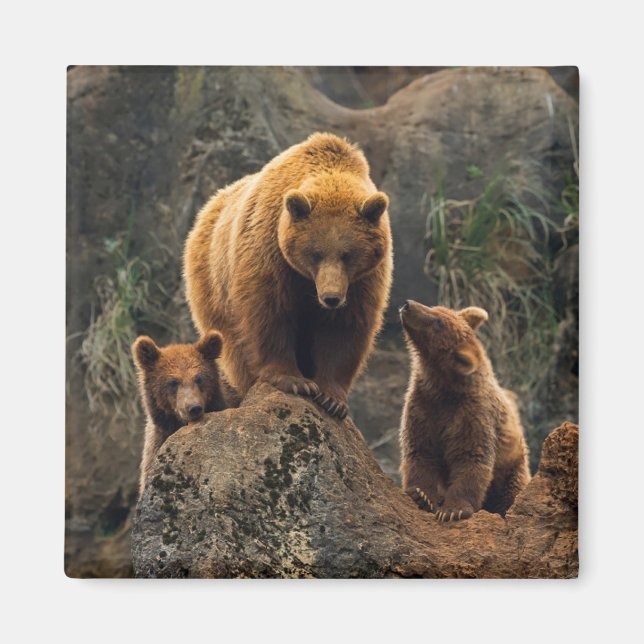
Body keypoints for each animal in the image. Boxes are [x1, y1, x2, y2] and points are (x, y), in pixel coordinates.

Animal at [183, 132, 393, 419]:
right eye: (315, 253)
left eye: (347, 254)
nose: (330, 298)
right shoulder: (270, 252)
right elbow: (269, 313)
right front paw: (295, 381)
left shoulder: (363, 281)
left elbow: (344, 328)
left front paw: (332, 398)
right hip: (213, 285)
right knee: (234, 345)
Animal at [398, 300, 531, 522]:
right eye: (436, 308)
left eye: (439, 323)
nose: (408, 305)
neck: (443, 387)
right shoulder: (423, 406)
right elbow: (420, 451)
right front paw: (422, 495)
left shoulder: (472, 415)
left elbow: (470, 458)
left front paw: (453, 510)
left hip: (512, 467)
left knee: (512, 492)